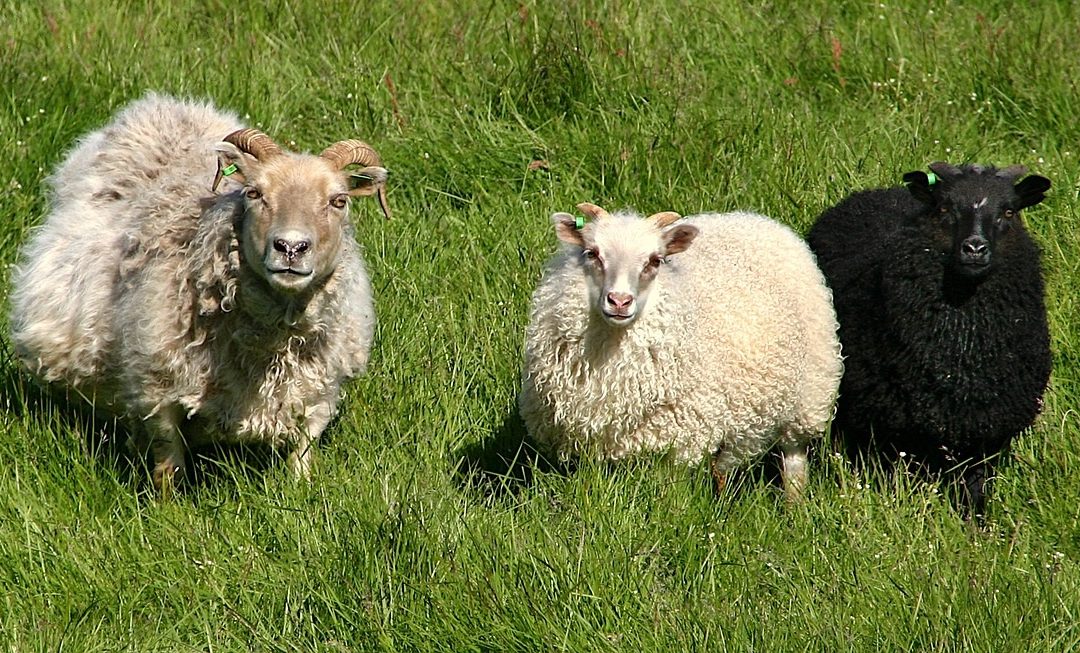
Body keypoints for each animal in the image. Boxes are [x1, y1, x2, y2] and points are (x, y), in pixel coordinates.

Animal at [8, 91, 390, 487]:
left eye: (339, 200)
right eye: (254, 193)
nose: (291, 247)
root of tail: (162, 106)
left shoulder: (319, 392)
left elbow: (302, 454)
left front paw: (300, 490)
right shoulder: (157, 389)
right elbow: (168, 465)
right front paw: (167, 501)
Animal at [516, 200, 842, 496]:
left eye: (655, 260)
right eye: (592, 253)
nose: (619, 301)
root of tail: (751, 217)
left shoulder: (677, 441)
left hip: (810, 393)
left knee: (794, 455)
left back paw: (794, 504)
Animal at [812, 161, 1054, 513]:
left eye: (1009, 211)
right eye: (944, 208)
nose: (975, 248)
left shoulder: (984, 430)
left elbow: (974, 486)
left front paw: (975, 522)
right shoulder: (891, 430)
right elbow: (893, 480)